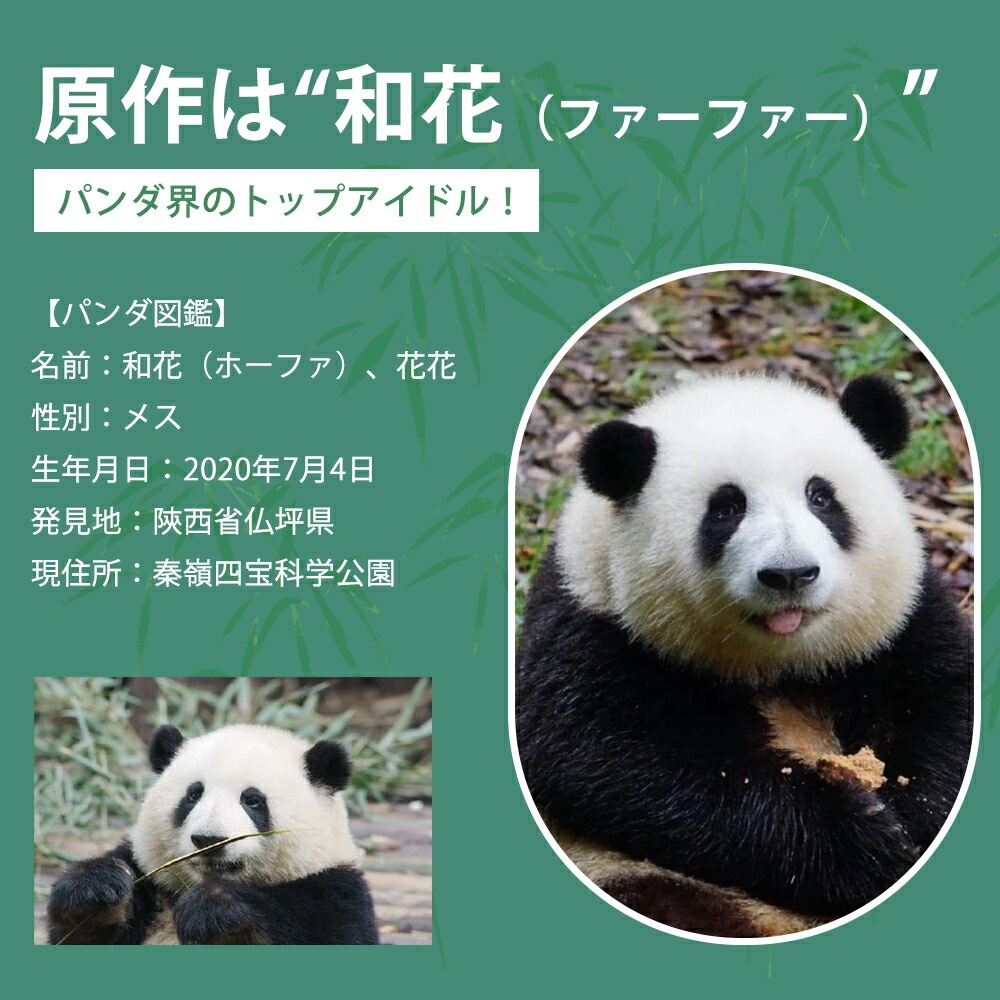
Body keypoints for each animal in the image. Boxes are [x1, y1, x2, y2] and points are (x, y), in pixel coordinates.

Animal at [47, 723, 379, 945]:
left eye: (253, 801)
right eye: (193, 795)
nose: (208, 840)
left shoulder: (332, 894)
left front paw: (214, 911)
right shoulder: (151, 881)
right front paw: (94, 886)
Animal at [515, 373, 973, 934]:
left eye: (821, 497)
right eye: (726, 508)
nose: (790, 574)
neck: (775, 665)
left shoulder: (899, 623)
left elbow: (945, 702)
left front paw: (911, 815)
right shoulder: (592, 630)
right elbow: (613, 755)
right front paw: (865, 841)